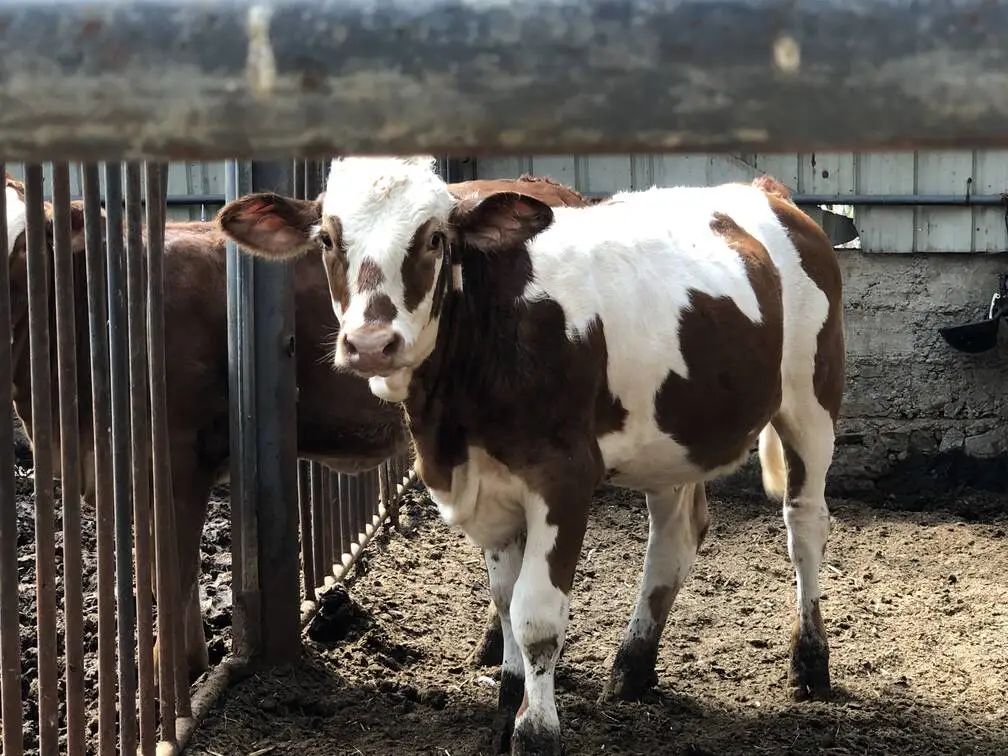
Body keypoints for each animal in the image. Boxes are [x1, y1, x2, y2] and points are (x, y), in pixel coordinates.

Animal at [218, 157, 842, 753]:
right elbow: (503, 598)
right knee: (674, 538)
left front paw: (535, 732)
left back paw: (810, 663)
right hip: (672, 436)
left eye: (435, 238)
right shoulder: (489, 489)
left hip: (811, 399)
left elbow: (535, 615)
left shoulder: (563, 477)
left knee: (805, 523)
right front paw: (507, 701)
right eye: (327, 238)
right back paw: (632, 667)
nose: (370, 343)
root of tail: (764, 190)